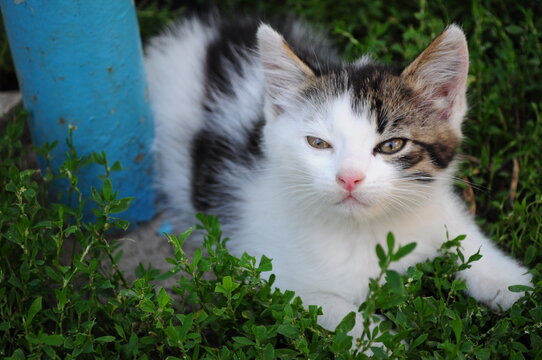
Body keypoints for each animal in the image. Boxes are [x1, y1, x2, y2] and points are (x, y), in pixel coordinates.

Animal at [143, 15, 532, 338]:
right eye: (318, 143)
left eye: (392, 144)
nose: (349, 178)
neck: (368, 230)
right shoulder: (269, 272)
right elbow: (334, 309)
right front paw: (379, 342)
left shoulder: (437, 205)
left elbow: (470, 244)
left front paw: (513, 287)